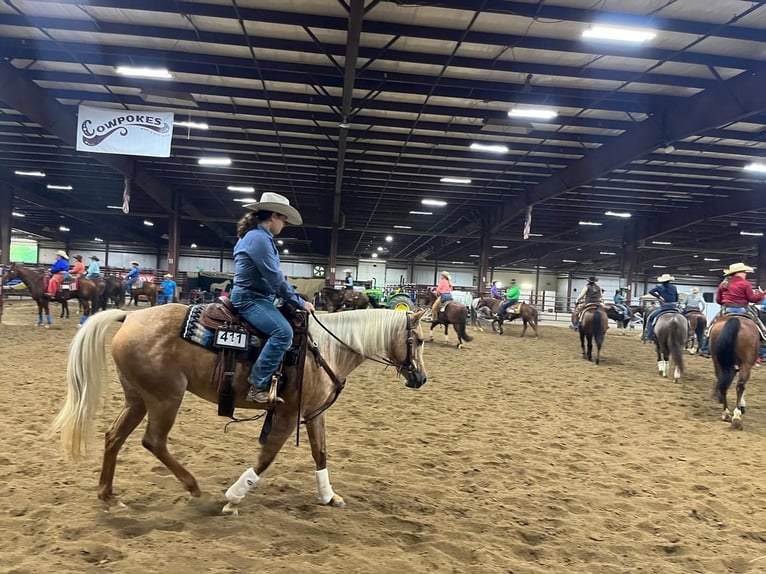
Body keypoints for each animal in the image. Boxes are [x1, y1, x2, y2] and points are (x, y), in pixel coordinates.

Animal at [51, 308, 428, 516]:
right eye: (421, 340)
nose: (421, 378)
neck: (324, 348)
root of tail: (131, 315)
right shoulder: (286, 415)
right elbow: (266, 457)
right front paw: (233, 499)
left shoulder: (315, 413)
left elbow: (320, 453)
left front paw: (329, 496)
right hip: (165, 398)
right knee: (153, 441)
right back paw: (194, 488)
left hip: (138, 399)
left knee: (113, 437)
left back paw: (109, 497)